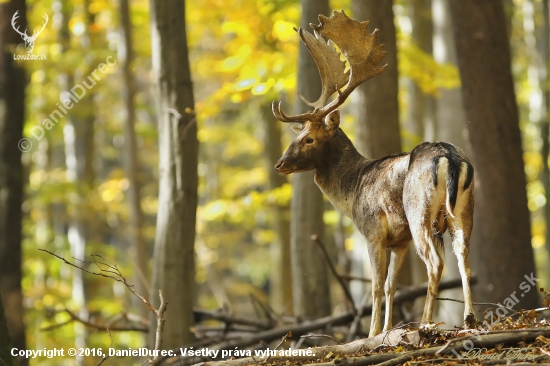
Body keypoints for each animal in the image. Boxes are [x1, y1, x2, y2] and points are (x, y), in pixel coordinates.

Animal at [274, 10, 476, 338]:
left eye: (309, 139)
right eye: (299, 134)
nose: (280, 164)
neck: (352, 189)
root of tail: (450, 157)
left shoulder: (372, 231)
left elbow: (376, 287)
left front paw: (370, 335)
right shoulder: (399, 241)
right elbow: (393, 286)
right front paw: (386, 332)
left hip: (419, 212)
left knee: (435, 263)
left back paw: (426, 323)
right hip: (463, 210)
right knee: (464, 258)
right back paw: (470, 320)